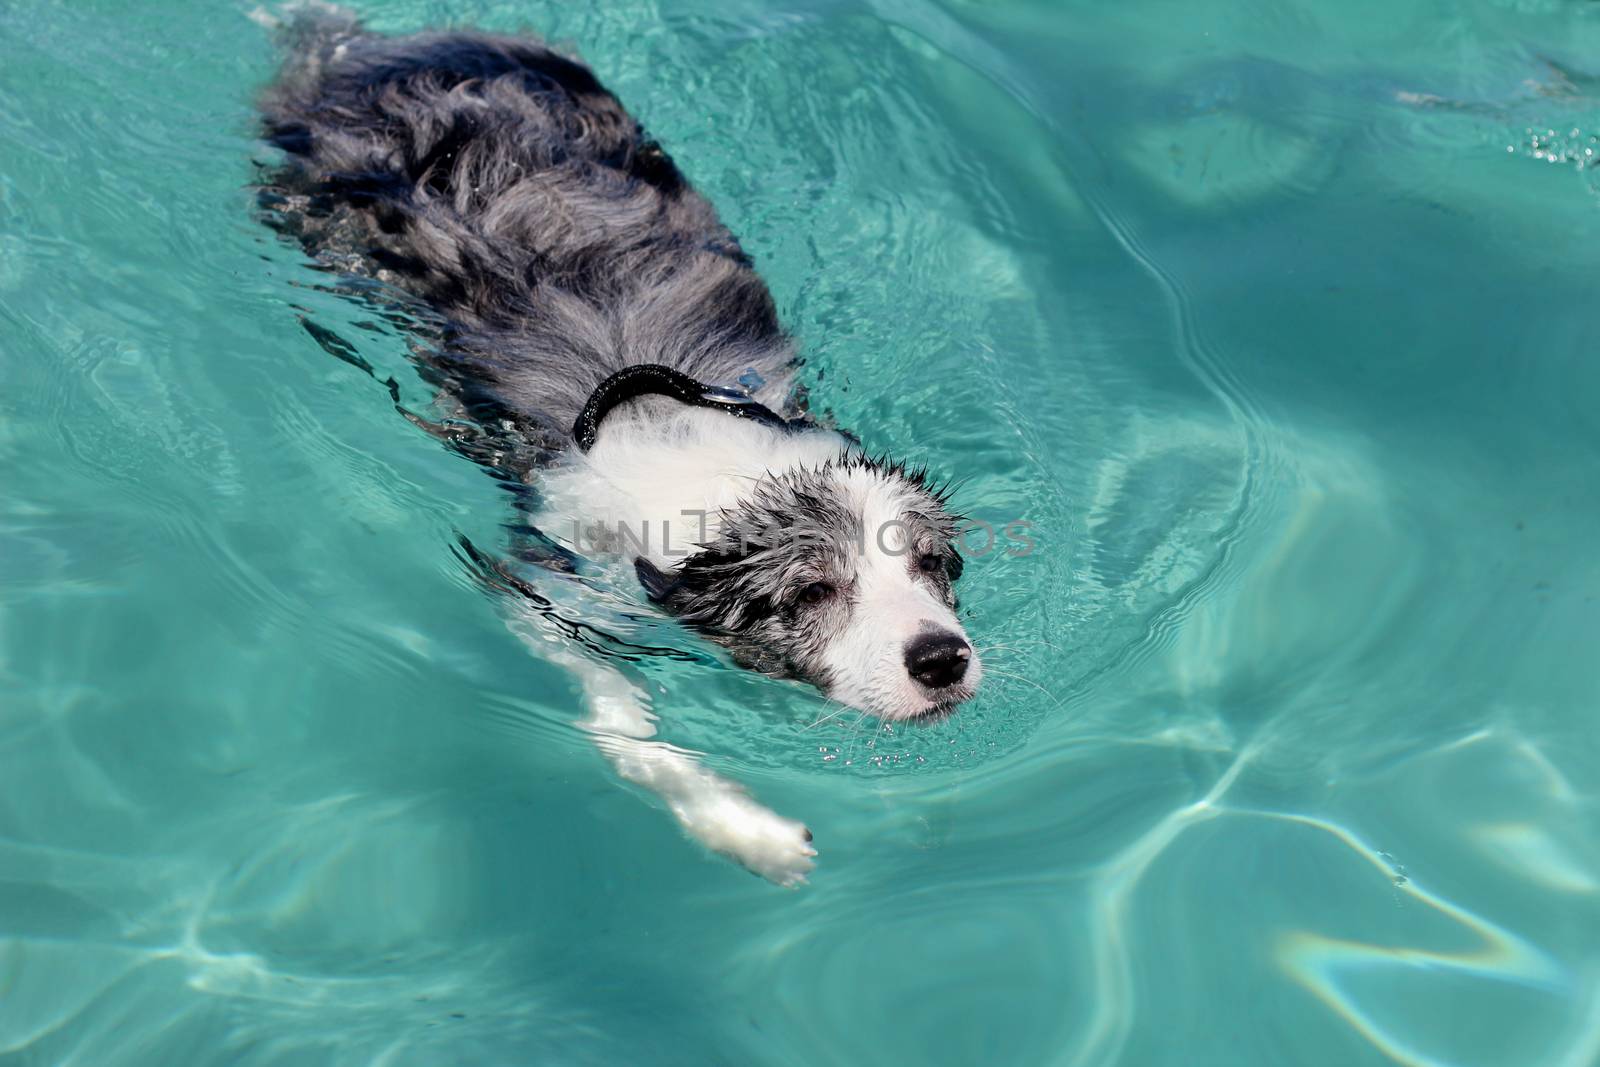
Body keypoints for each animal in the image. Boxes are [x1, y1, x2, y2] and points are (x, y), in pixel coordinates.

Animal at [256, 10, 979, 883]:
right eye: (809, 592)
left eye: (931, 563)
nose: (941, 658)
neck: (714, 465)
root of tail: (382, 46)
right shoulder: (549, 578)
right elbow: (620, 722)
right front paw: (744, 827)